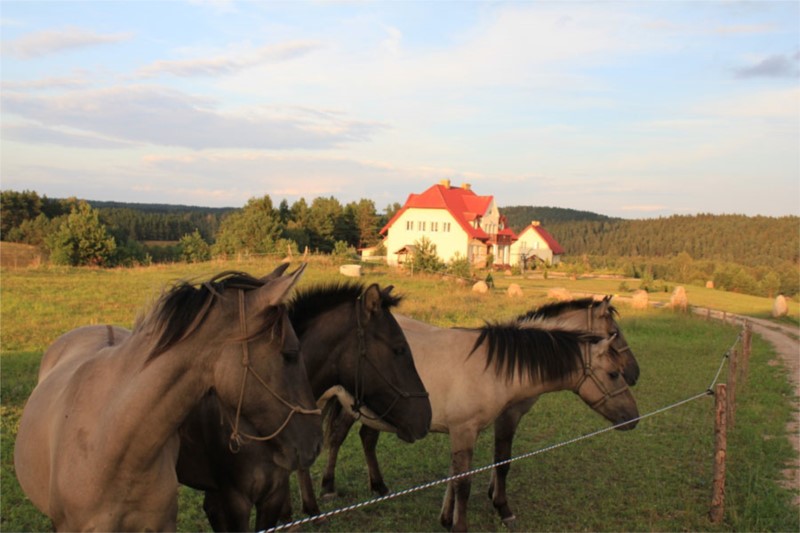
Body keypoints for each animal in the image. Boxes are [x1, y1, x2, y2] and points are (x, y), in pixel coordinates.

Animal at [312, 304, 636, 528]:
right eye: (613, 373)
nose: (633, 417)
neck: (492, 369)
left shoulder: (467, 432)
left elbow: (459, 474)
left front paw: (447, 518)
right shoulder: (471, 428)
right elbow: (471, 480)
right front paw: (478, 517)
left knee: (363, 437)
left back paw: (377, 487)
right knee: (330, 440)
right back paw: (325, 492)